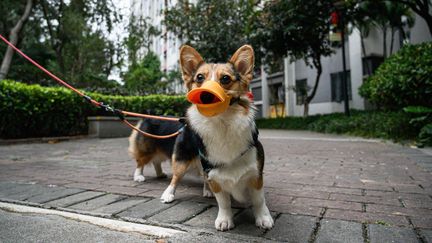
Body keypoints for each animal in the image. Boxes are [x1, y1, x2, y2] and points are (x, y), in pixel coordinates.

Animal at [126, 45, 274, 230]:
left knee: (158, 162)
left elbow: (259, 200)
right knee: (157, 168)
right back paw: (157, 187)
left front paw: (263, 218)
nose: (205, 94)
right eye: (199, 78)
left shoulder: (256, 175)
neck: (221, 124)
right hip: (175, 157)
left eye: (225, 78)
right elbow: (224, 202)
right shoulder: (214, 174)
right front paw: (225, 220)